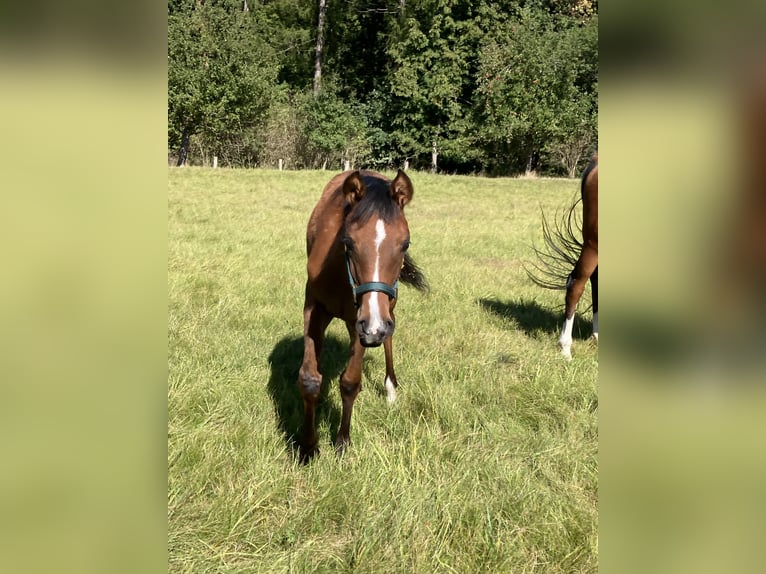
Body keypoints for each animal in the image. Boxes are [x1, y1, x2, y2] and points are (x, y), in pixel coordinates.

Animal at [298, 169, 428, 462]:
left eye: (405, 244)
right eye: (348, 242)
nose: (374, 328)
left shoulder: (366, 322)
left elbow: (350, 382)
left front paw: (342, 441)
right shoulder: (315, 309)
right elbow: (310, 379)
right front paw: (308, 448)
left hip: (385, 309)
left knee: (390, 335)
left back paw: (390, 389)